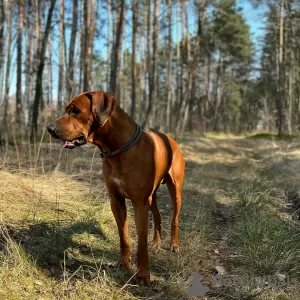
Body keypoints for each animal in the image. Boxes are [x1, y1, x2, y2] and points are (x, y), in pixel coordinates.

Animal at [45, 91, 184, 284]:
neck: (119, 149)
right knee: (157, 216)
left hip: (175, 191)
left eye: (76, 111)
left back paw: (174, 245)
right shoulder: (116, 201)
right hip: (152, 195)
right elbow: (123, 236)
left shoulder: (139, 203)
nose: (49, 128)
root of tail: (170, 139)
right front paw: (124, 264)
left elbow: (141, 243)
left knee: (174, 219)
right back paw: (156, 243)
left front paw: (142, 276)